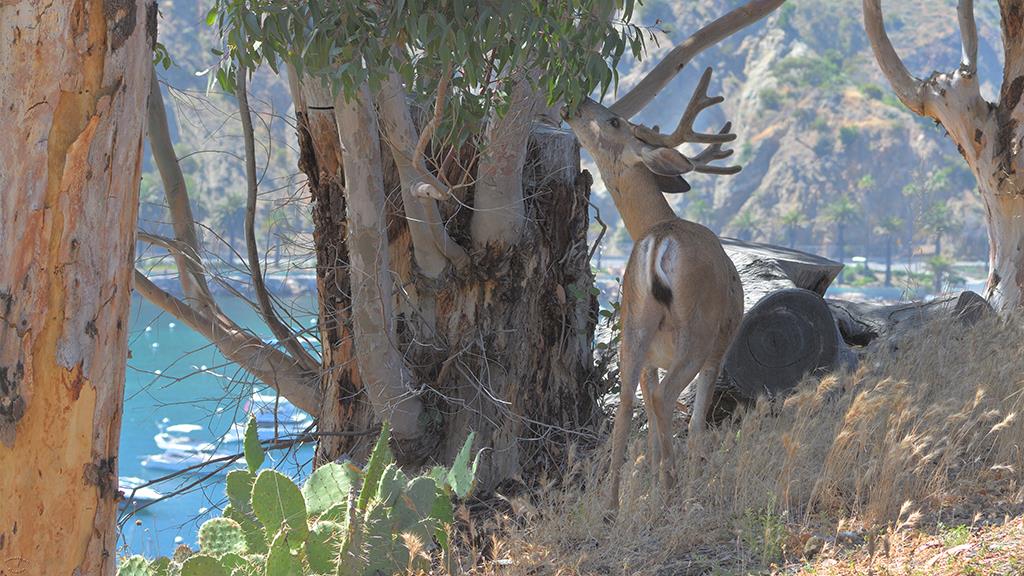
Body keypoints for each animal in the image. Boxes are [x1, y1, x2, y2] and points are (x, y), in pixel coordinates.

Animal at [565, 0, 778, 506]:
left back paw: (614, 503)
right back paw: (672, 491)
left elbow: (647, 415)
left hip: (634, 323)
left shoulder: (650, 351)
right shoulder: (720, 346)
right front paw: (683, 478)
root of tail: (658, 241)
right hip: (697, 328)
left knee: (626, 404)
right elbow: (695, 421)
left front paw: (656, 479)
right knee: (665, 399)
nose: (575, 102)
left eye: (615, 121)